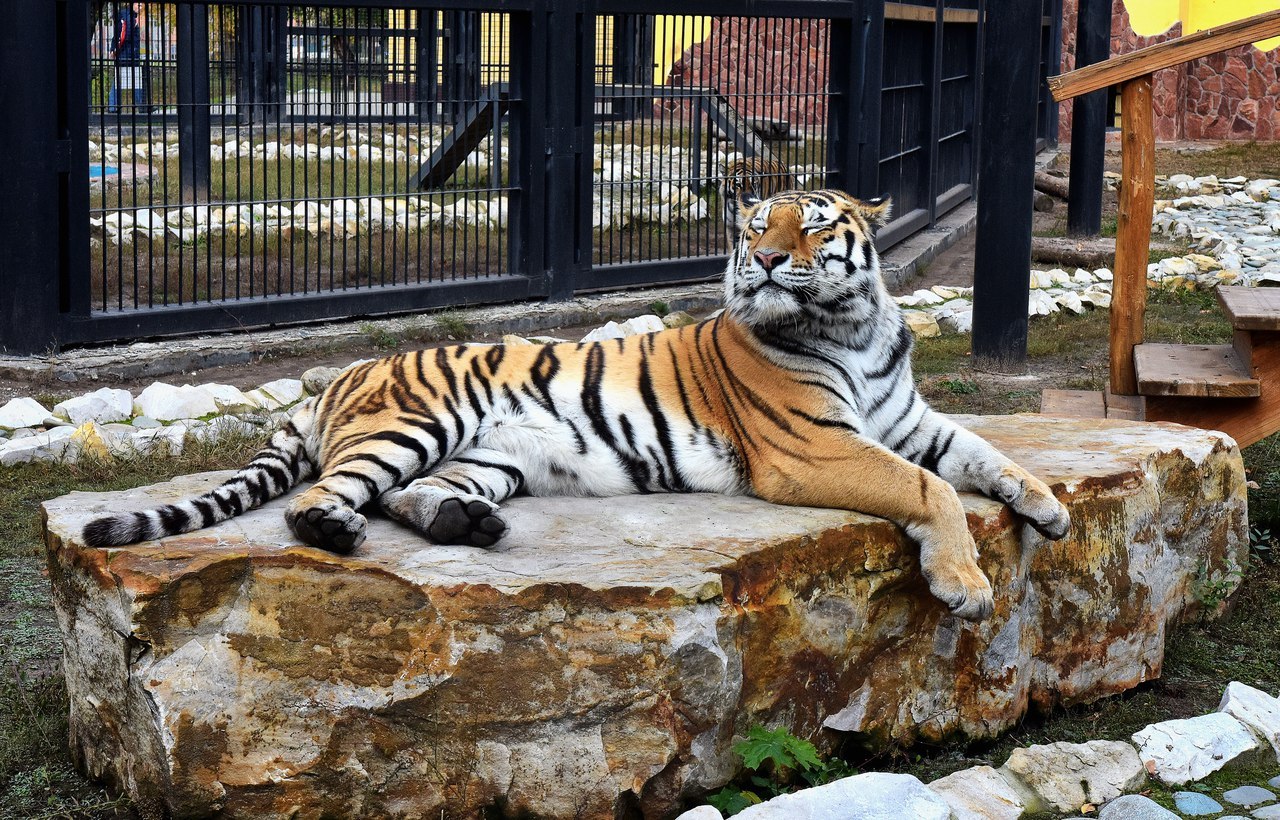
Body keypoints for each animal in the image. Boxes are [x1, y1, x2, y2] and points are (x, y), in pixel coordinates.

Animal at [82, 186, 1070, 619]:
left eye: (815, 224)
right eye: (758, 224)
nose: (761, 260)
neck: (855, 325)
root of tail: (342, 378)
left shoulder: (908, 420)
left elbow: (986, 455)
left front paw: (1049, 508)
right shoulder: (816, 447)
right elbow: (928, 487)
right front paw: (965, 586)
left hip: (487, 458)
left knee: (410, 496)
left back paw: (467, 529)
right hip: (417, 422)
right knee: (322, 499)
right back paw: (340, 532)